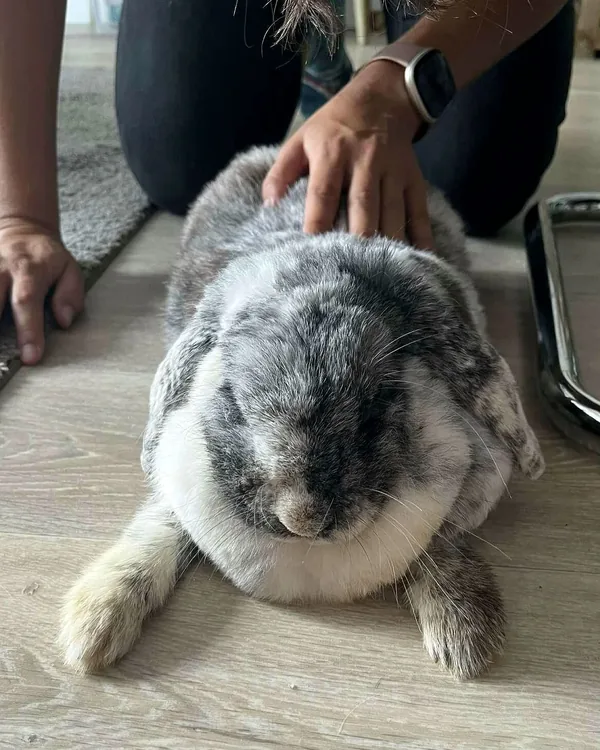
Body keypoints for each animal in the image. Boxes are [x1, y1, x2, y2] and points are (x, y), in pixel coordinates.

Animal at [59, 146, 544, 680]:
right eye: (234, 399)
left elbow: (440, 543)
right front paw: (94, 625)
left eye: (377, 402)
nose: (304, 518)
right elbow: (161, 526)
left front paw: (465, 634)